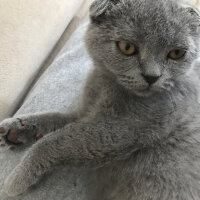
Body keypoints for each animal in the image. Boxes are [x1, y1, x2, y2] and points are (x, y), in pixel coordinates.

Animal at [0, 0, 200, 199]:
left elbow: (58, 140)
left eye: (176, 53)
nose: (152, 76)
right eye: (127, 47)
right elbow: (55, 118)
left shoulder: (124, 128)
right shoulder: (85, 112)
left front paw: (18, 178)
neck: (105, 84)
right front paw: (16, 129)